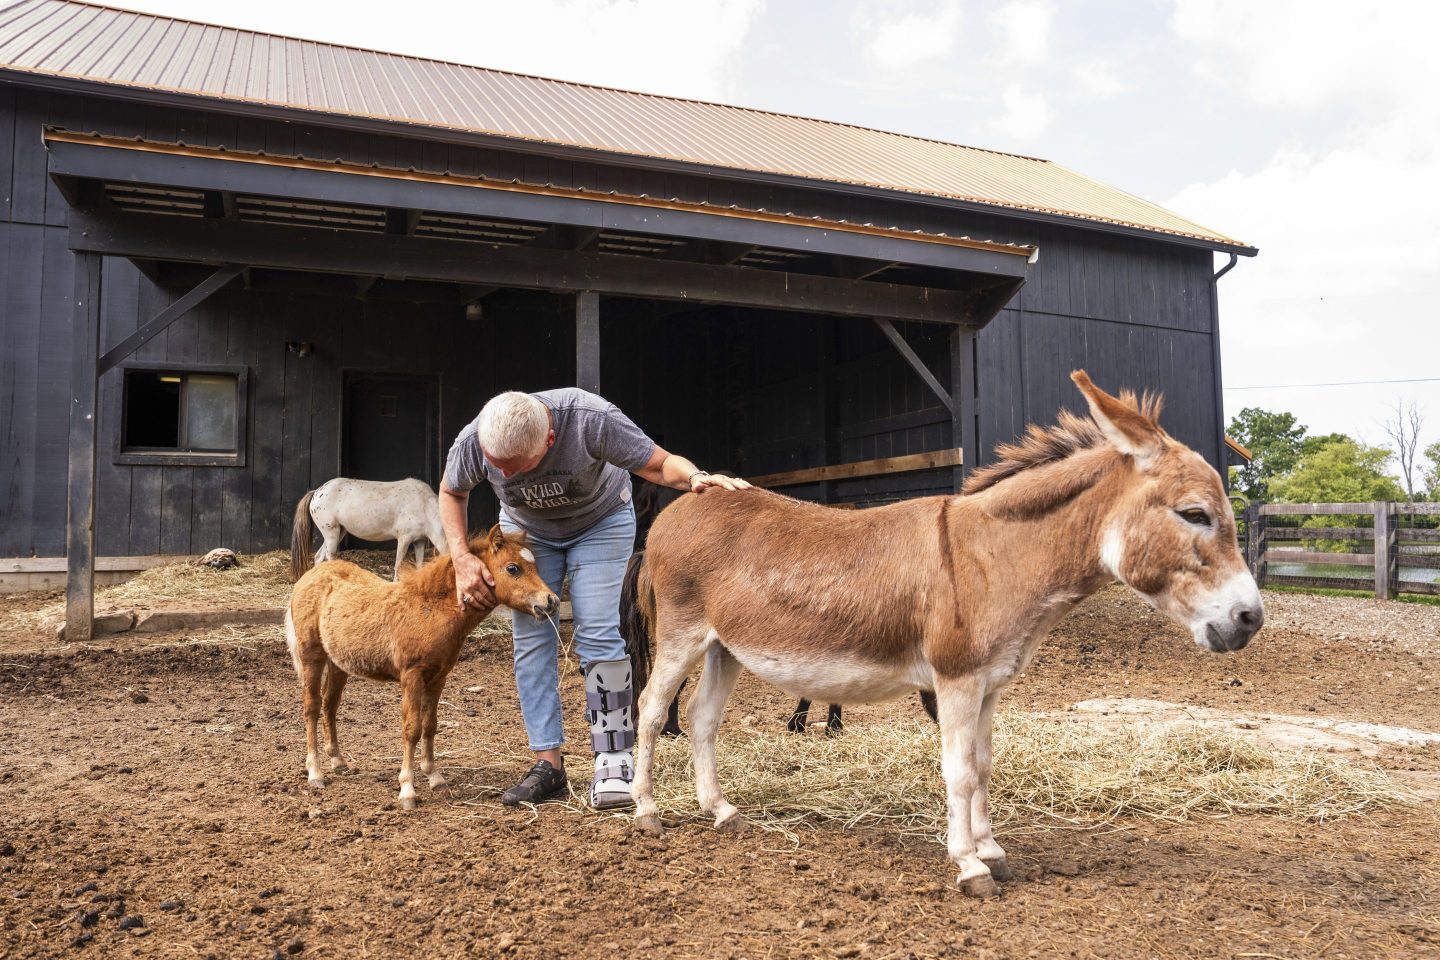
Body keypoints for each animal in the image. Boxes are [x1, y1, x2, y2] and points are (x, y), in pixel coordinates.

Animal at [286, 526, 555, 811]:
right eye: (513, 568)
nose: (551, 601)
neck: (430, 610)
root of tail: (308, 577)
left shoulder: (438, 677)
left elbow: (430, 725)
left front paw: (434, 777)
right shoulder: (411, 676)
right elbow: (412, 728)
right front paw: (407, 790)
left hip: (338, 662)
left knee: (330, 704)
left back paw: (337, 761)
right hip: (311, 655)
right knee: (312, 707)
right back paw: (315, 772)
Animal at [289, 477, 446, 581]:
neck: (423, 505)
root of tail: (316, 492)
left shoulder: (420, 541)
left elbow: (419, 565)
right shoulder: (404, 538)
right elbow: (398, 564)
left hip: (339, 532)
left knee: (319, 557)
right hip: (331, 532)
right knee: (329, 556)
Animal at [630, 371, 1261, 898]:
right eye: (1196, 514)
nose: (1250, 619)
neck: (991, 556)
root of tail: (684, 505)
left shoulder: (990, 683)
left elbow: (982, 765)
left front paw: (993, 849)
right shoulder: (956, 679)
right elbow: (958, 771)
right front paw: (970, 865)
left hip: (726, 647)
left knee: (701, 719)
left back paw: (720, 810)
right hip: (683, 634)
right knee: (652, 709)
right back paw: (647, 811)